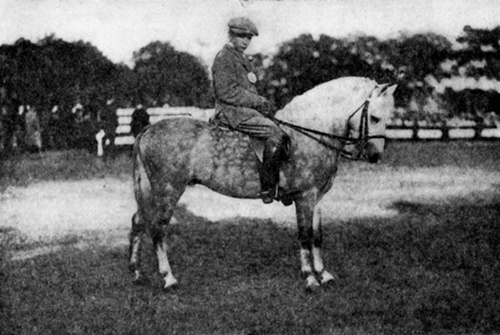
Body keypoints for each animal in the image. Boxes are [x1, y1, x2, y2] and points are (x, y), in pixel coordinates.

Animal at [130, 77, 398, 292]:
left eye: (388, 118)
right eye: (374, 117)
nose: (375, 156)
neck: (309, 135)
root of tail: (147, 130)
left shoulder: (318, 198)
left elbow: (317, 236)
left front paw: (324, 275)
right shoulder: (304, 197)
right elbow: (304, 236)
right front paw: (310, 278)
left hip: (150, 190)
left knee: (138, 222)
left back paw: (136, 272)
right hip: (168, 190)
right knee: (158, 229)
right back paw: (168, 278)